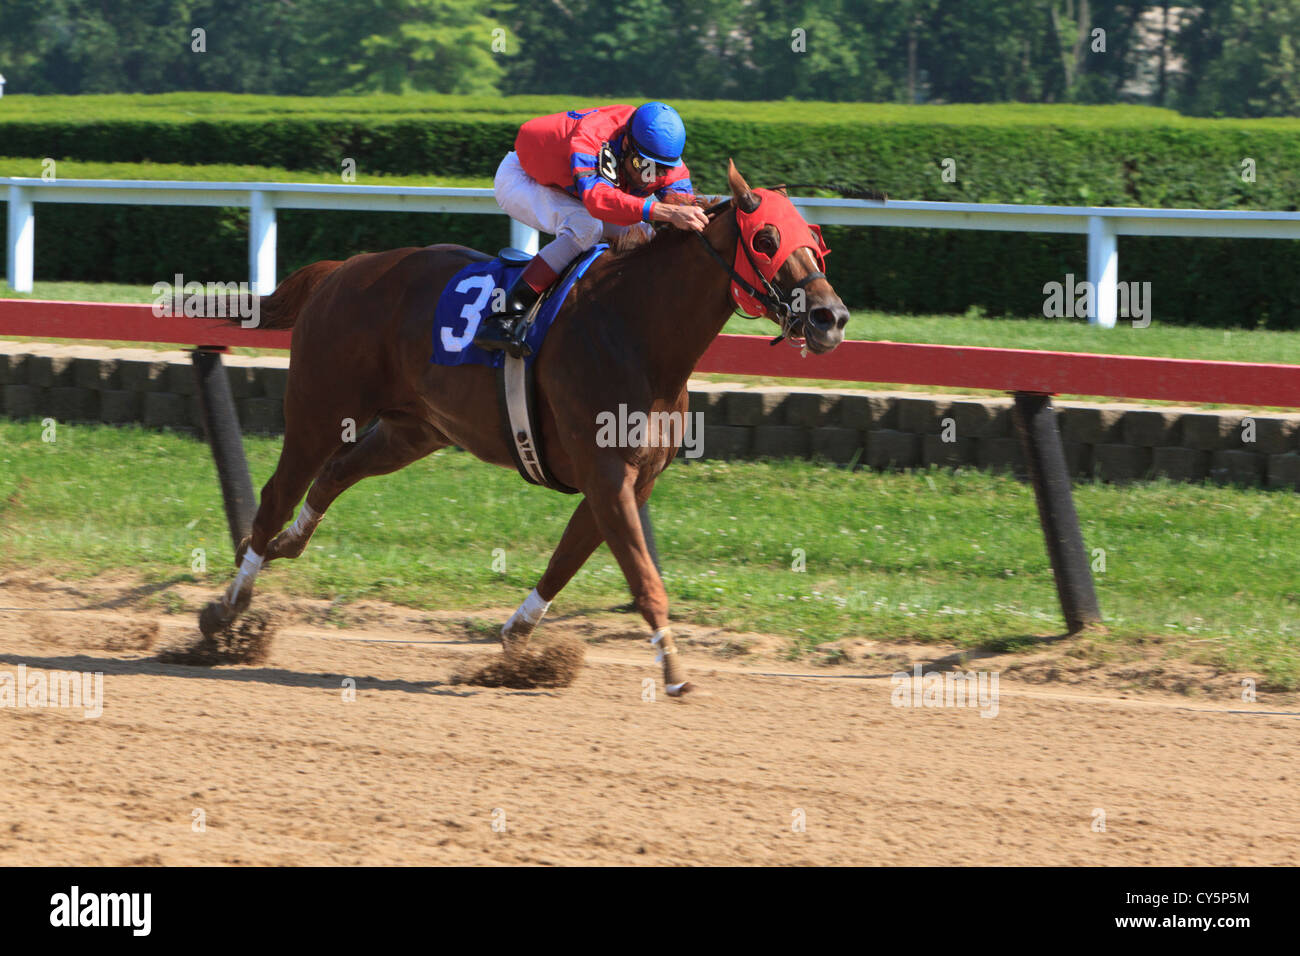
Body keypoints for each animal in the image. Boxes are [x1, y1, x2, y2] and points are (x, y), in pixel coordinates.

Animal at [205, 158, 852, 697]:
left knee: (336, 474)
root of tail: (345, 270)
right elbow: (644, 580)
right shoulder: (605, 473)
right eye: (766, 239)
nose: (832, 317)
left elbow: (566, 562)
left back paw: (284, 547)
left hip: (415, 429)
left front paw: (517, 644)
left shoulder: (629, 480)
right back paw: (229, 605)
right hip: (319, 409)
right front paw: (673, 672)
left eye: (815, 239)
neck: (635, 330)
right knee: (275, 497)